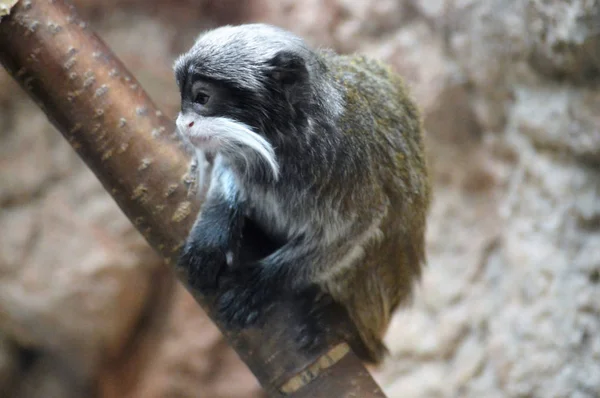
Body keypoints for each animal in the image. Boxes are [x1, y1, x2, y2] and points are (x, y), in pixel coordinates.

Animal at [171, 22, 428, 364]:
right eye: (183, 96)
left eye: (201, 97)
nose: (182, 122)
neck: (287, 141)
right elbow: (230, 170)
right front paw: (213, 236)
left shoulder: (350, 164)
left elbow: (355, 228)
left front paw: (261, 282)